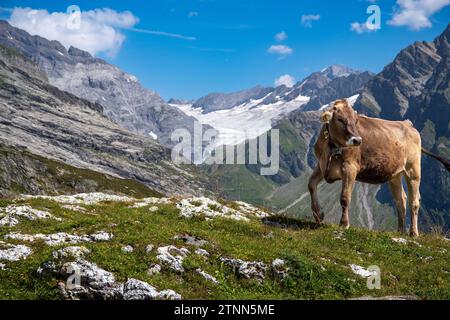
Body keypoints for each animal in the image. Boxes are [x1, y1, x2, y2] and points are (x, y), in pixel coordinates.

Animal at [310, 99, 450, 236]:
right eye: (339, 119)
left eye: (355, 120)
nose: (357, 140)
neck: (330, 148)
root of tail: (407, 124)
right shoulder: (321, 166)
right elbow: (311, 184)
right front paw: (318, 215)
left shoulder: (350, 168)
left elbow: (345, 197)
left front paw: (344, 224)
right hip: (395, 174)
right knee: (401, 200)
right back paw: (400, 230)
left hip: (413, 169)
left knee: (414, 201)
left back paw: (413, 233)